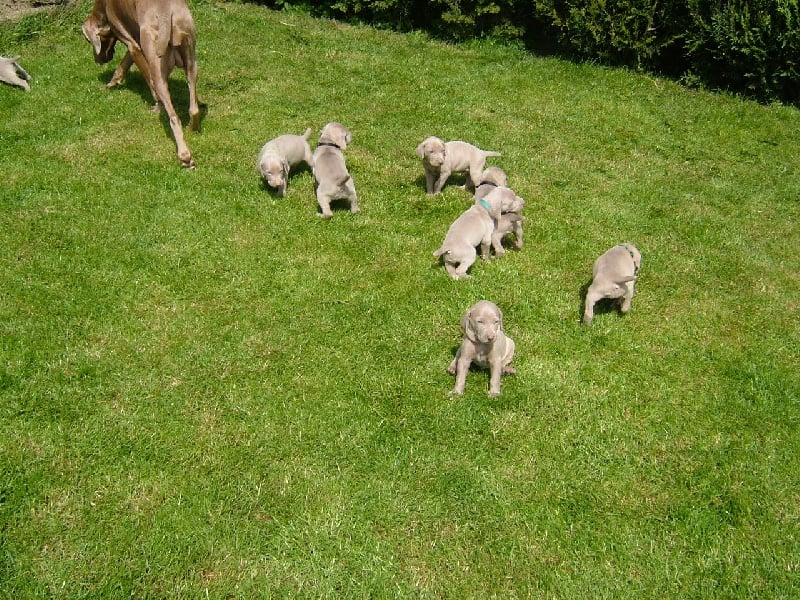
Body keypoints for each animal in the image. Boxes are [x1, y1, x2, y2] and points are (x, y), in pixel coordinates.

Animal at [82, 0, 200, 168]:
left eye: (88, 40)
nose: (98, 61)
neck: (104, 6)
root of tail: (168, 12)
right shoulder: (134, 42)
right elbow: (123, 65)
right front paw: (110, 84)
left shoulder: (133, 46)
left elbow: (148, 81)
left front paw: (157, 106)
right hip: (191, 61)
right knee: (194, 108)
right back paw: (192, 127)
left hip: (156, 61)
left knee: (174, 117)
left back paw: (184, 156)